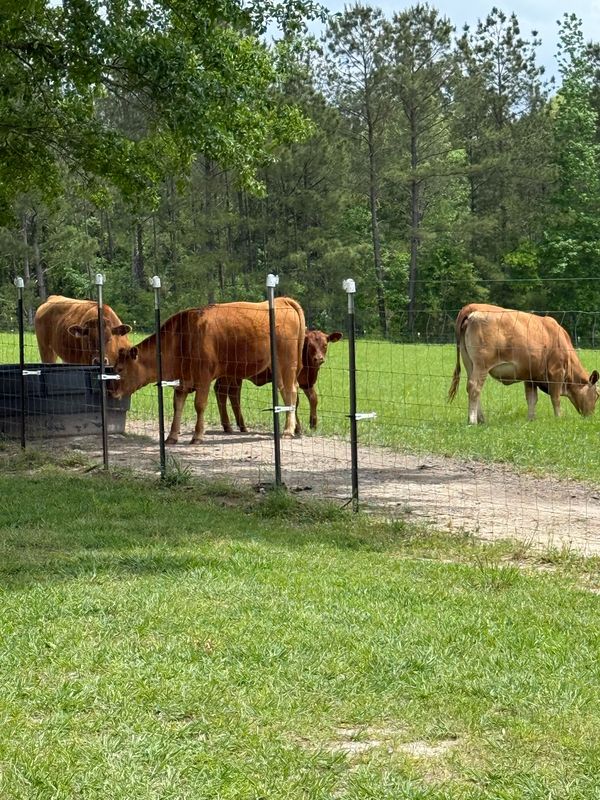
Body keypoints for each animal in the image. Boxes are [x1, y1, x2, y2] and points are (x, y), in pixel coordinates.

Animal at [109, 298, 306, 444]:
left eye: (120, 368)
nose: (110, 391)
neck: (182, 337)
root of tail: (282, 301)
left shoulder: (203, 378)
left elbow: (199, 405)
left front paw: (197, 436)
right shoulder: (182, 381)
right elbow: (177, 406)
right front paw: (171, 436)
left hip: (286, 363)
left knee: (291, 392)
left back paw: (288, 430)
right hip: (278, 369)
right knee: (286, 392)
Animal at [214, 329, 343, 435]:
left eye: (325, 345)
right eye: (310, 345)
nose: (319, 359)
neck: (309, 368)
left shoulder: (307, 382)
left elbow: (314, 399)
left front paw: (313, 424)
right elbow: (295, 402)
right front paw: (297, 428)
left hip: (236, 375)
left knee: (233, 393)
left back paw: (242, 427)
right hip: (228, 375)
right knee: (222, 391)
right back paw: (227, 426)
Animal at [448, 303, 600, 424]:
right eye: (598, 395)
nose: (591, 416)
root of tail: (473, 306)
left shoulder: (531, 376)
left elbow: (532, 399)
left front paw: (531, 419)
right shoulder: (556, 372)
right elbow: (555, 398)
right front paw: (559, 418)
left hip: (469, 363)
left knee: (472, 387)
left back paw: (481, 419)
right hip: (482, 364)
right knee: (474, 387)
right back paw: (472, 421)